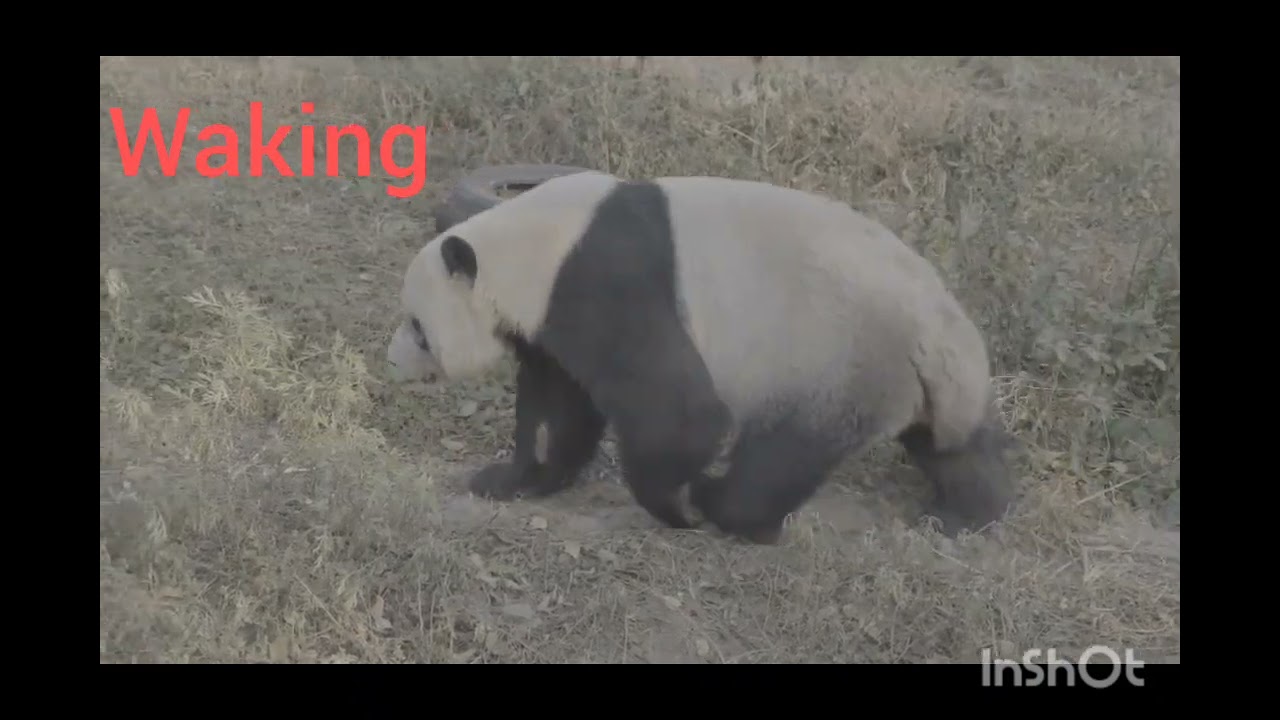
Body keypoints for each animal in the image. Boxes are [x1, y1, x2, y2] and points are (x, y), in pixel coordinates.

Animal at [386, 171, 1015, 544]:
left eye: (419, 328)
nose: (392, 360)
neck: (537, 244)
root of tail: (941, 333)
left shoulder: (606, 282)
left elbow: (681, 410)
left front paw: (672, 505)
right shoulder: (553, 321)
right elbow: (558, 405)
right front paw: (509, 477)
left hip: (837, 362)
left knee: (784, 452)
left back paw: (724, 505)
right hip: (917, 383)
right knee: (949, 445)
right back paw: (964, 511)